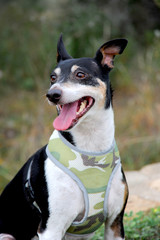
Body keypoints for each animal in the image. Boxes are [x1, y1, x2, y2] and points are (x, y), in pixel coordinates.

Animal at [0, 35, 128, 240]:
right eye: (53, 78)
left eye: (80, 75)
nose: (52, 94)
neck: (90, 146)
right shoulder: (50, 228)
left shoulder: (115, 223)